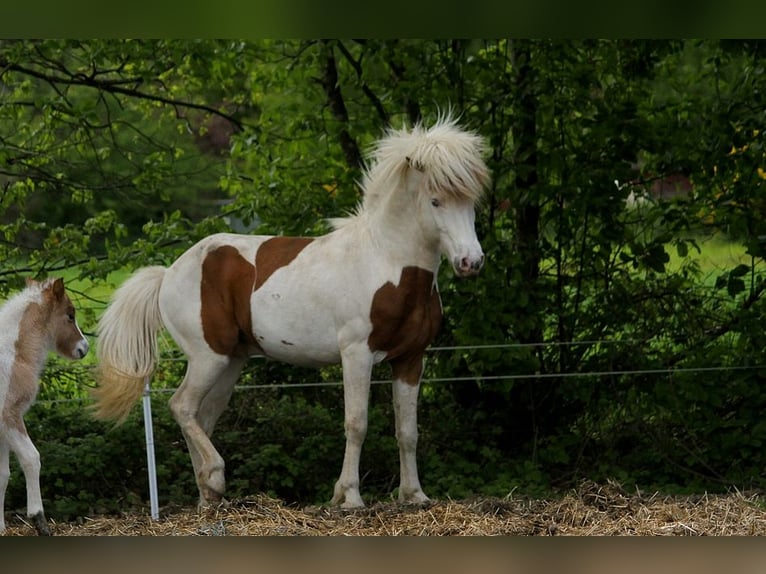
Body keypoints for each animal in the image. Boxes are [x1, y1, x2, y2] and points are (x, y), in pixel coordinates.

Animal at [0, 280, 90, 536]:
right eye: (70, 314)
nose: (85, 348)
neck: (14, 356)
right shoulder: (9, 417)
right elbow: (32, 458)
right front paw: (39, 521)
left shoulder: (2, 431)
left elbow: (3, 475)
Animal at [93, 116, 488, 508]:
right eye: (436, 201)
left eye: (471, 202)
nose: (471, 262)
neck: (385, 262)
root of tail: (168, 273)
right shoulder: (356, 355)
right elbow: (356, 424)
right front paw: (349, 496)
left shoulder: (410, 359)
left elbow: (407, 430)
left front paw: (415, 495)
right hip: (209, 357)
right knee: (182, 407)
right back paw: (215, 477)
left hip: (231, 361)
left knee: (202, 417)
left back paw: (209, 497)